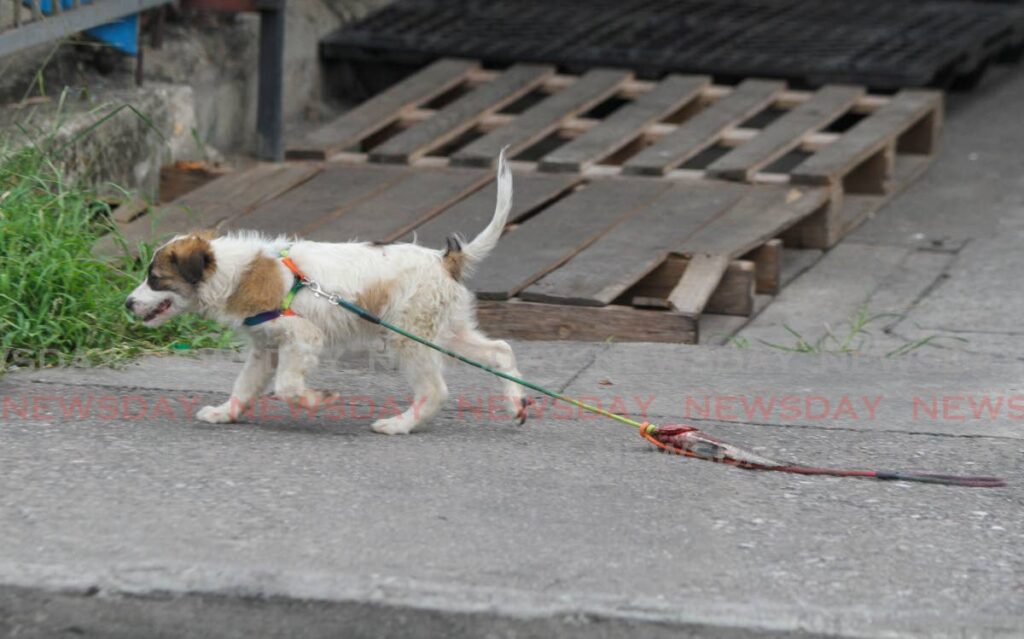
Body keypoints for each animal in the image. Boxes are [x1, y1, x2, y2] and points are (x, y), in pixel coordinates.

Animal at [125, 150, 528, 434]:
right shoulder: (265, 347)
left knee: (435, 390)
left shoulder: (303, 335)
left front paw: (315, 400)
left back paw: (400, 424)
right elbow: (246, 385)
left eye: (155, 278)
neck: (236, 271)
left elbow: (287, 385)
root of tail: (444, 260)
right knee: (500, 351)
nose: (128, 304)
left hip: (409, 336)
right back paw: (517, 402)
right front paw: (226, 412)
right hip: (443, 329)